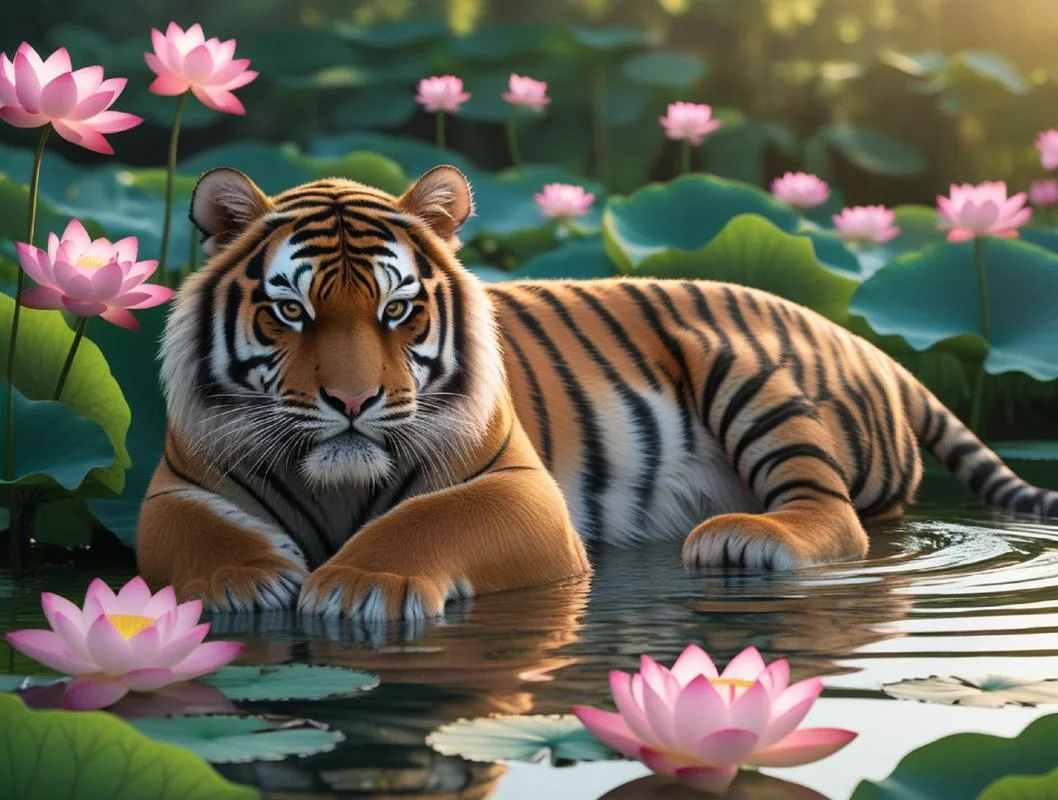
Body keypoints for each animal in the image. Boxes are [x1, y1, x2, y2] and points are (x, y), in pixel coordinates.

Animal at [137, 164, 1058, 622]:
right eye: (290, 311)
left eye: (398, 310)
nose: (355, 404)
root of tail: (868, 340)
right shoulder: (175, 487)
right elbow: (192, 537)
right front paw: (245, 580)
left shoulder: (519, 489)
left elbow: (424, 522)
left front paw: (363, 584)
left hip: (745, 373)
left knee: (833, 515)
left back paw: (743, 538)